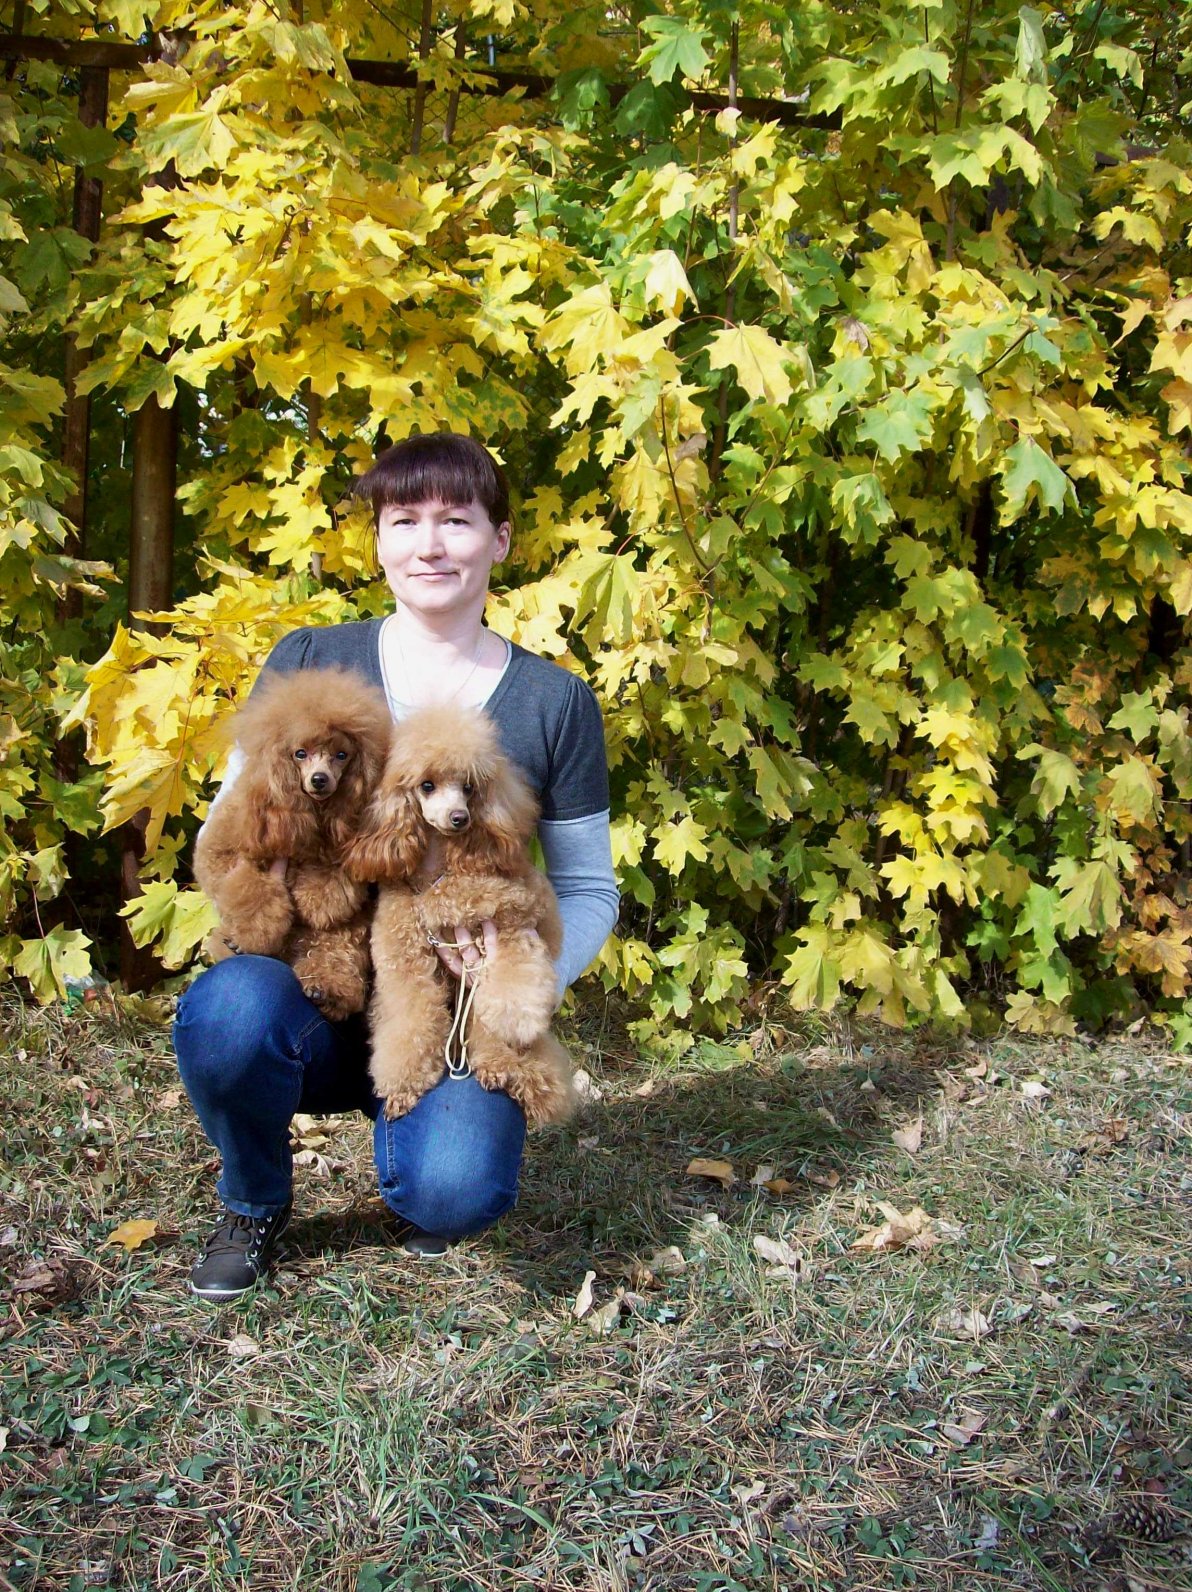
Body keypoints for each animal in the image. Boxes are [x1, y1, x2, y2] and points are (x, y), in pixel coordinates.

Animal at [193, 666, 392, 1020]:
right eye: (300, 754)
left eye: (341, 755)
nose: (320, 780)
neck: (311, 813)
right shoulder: (223, 847)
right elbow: (248, 884)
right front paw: (250, 935)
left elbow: (329, 888)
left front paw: (315, 895)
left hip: (336, 937)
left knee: (333, 952)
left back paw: (327, 991)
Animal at [347, 704, 575, 1127]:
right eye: (427, 785)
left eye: (469, 787)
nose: (459, 818)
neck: (440, 869)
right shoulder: (403, 959)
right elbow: (410, 1017)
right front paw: (403, 1086)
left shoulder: (514, 922)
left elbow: (514, 983)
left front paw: (517, 1018)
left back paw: (507, 1070)